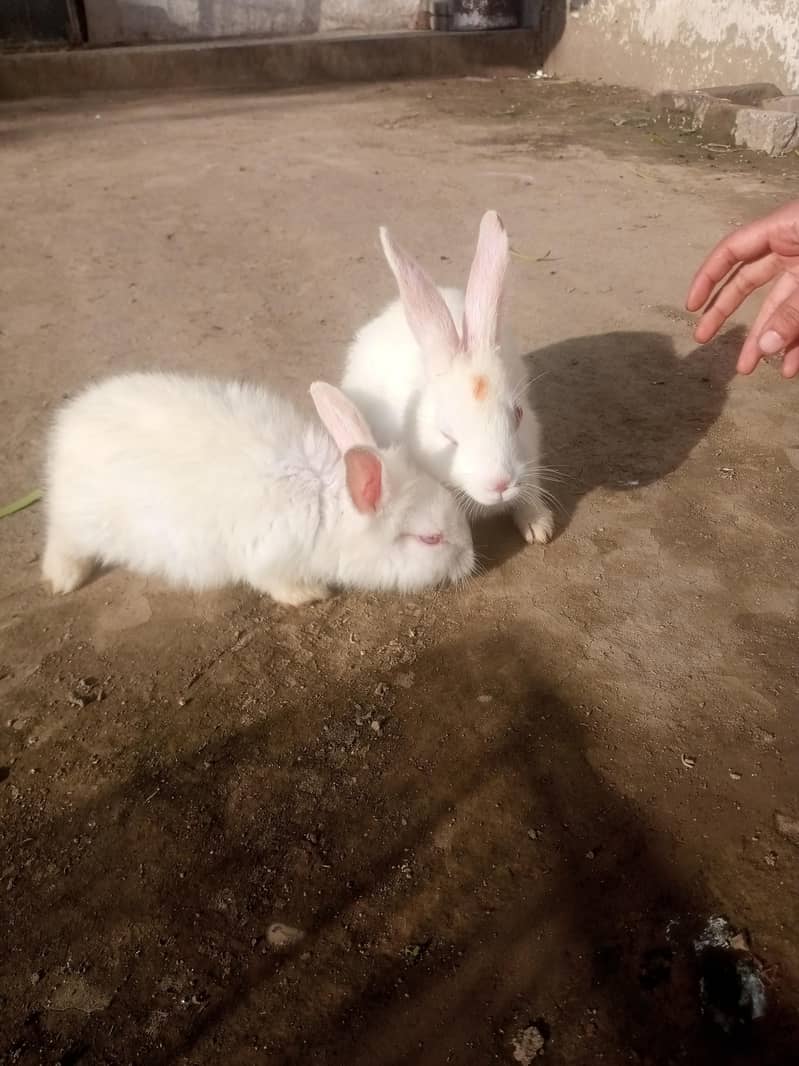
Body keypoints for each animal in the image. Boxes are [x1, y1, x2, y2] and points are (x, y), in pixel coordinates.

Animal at [41, 373, 475, 606]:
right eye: (431, 539)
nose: (472, 557)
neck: (325, 506)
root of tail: (70, 424)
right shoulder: (269, 560)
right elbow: (277, 585)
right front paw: (311, 595)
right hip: (84, 523)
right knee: (62, 541)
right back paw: (63, 579)